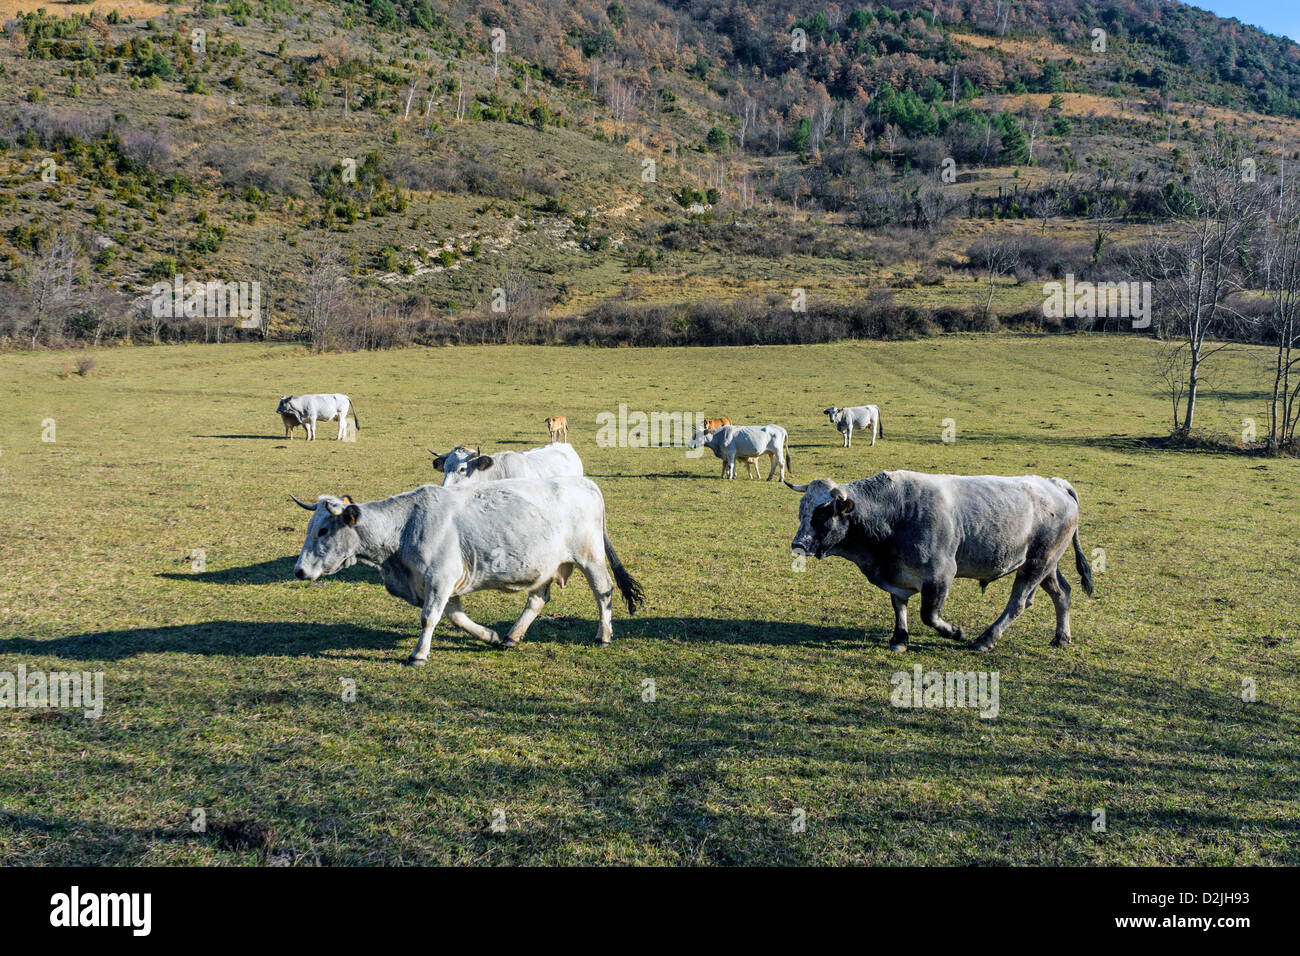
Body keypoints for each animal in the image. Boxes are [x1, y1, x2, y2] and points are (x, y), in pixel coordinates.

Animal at [289, 478, 644, 665]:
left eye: (323, 530)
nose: (299, 570)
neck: (405, 527)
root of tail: (585, 482)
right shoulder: (441, 585)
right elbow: (456, 617)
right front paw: (489, 635)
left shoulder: (440, 578)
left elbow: (430, 618)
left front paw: (419, 654)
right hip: (547, 567)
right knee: (537, 600)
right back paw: (512, 636)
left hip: (590, 557)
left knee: (604, 592)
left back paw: (603, 635)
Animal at [785, 470, 1092, 650]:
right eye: (802, 511)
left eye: (822, 512)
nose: (798, 544)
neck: (896, 511)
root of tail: (1055, 484)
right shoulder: (897, 574)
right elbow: (899, 605)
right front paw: (899, 638)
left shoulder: (941, 574)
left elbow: (929, 615)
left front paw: (955, 632)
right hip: (1046, 564)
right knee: (1062, 593)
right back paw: (1061, 637)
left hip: (1037, 563)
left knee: (1018, 603)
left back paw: (986, 639)